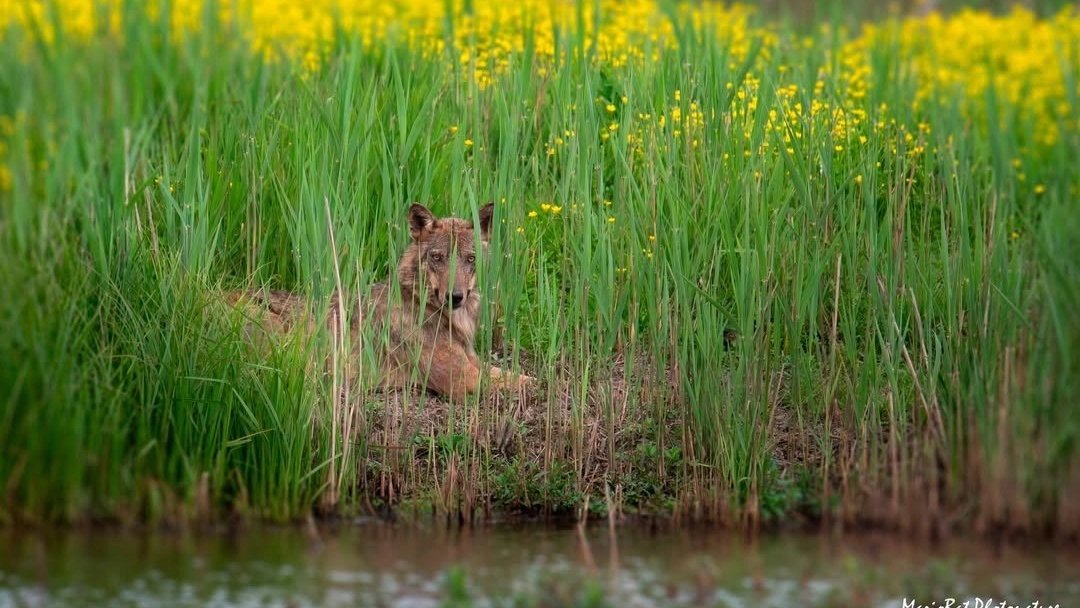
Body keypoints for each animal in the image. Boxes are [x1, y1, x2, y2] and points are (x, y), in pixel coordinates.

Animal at [225, 204, 533, 401]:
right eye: (437, 257)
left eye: (470, 259)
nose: (454, 297)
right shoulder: (464, 379)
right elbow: (525, 382)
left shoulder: (474, 363)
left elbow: (518, 374)